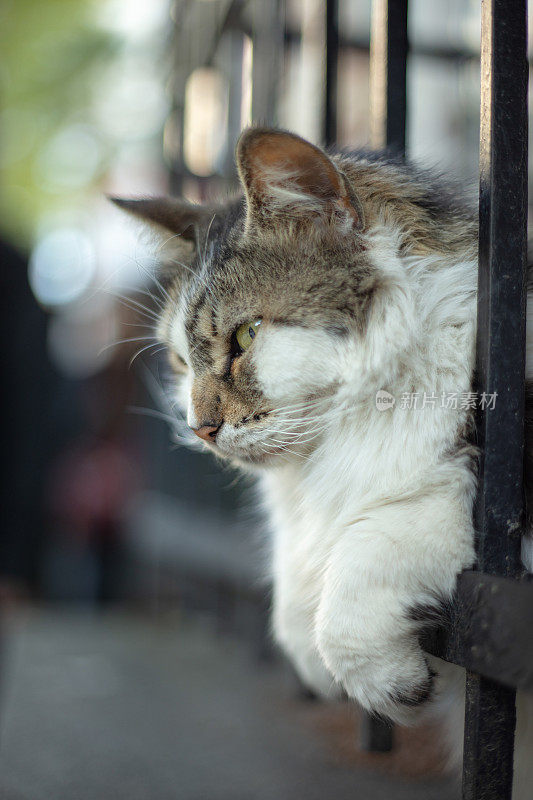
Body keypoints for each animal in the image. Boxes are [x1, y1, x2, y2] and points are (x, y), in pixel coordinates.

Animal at [112, 128, 532, 796]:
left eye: (248, 336)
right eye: (180, 362)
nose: (200, 429)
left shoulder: (473, 498)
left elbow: (367, 559)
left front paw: (388, 686)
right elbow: (294, 586)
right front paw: (309, 655)